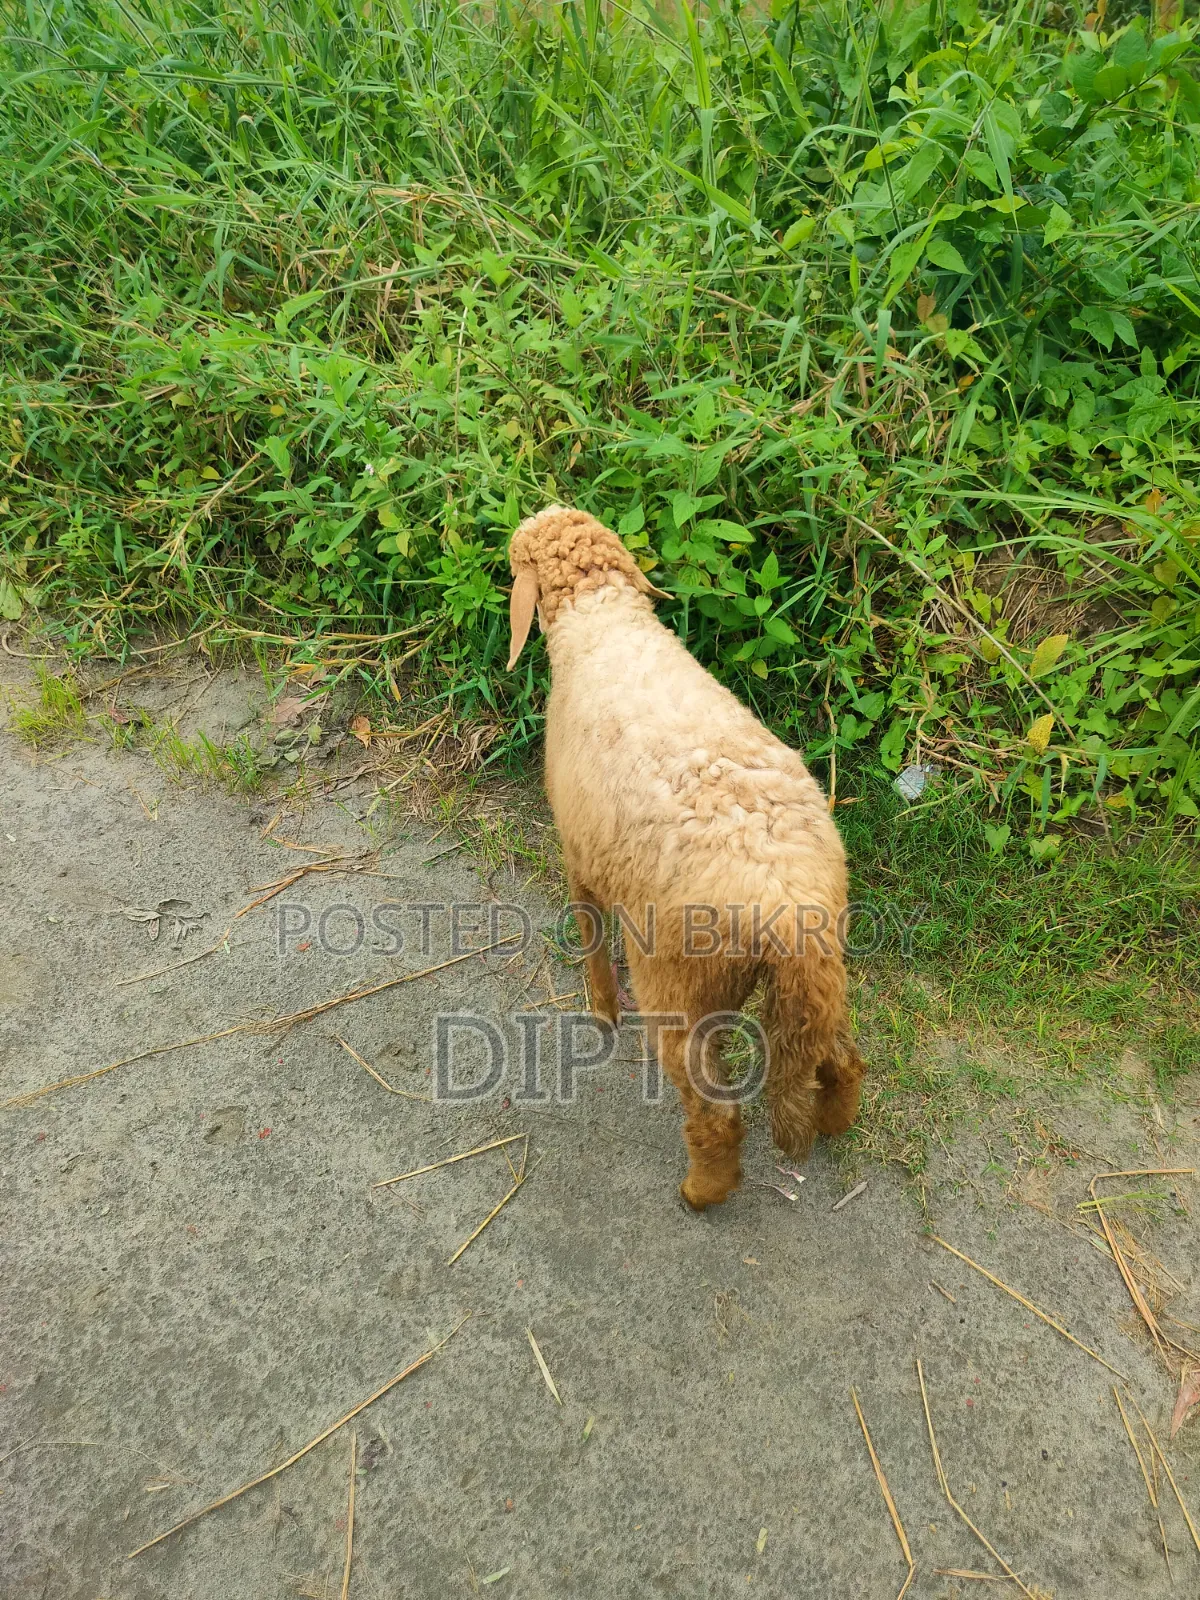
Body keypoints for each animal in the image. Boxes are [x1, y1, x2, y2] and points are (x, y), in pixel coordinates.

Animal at [507, 504, 865, 1210]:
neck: (602, 617)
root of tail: (787, 913)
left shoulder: (580, 856)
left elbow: (591, 938)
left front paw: (601, 1012)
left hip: (682, 985)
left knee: (714, 1112)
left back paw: (701, 1192)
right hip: (821, 969)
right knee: (837, 1058)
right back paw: (834, 1120)